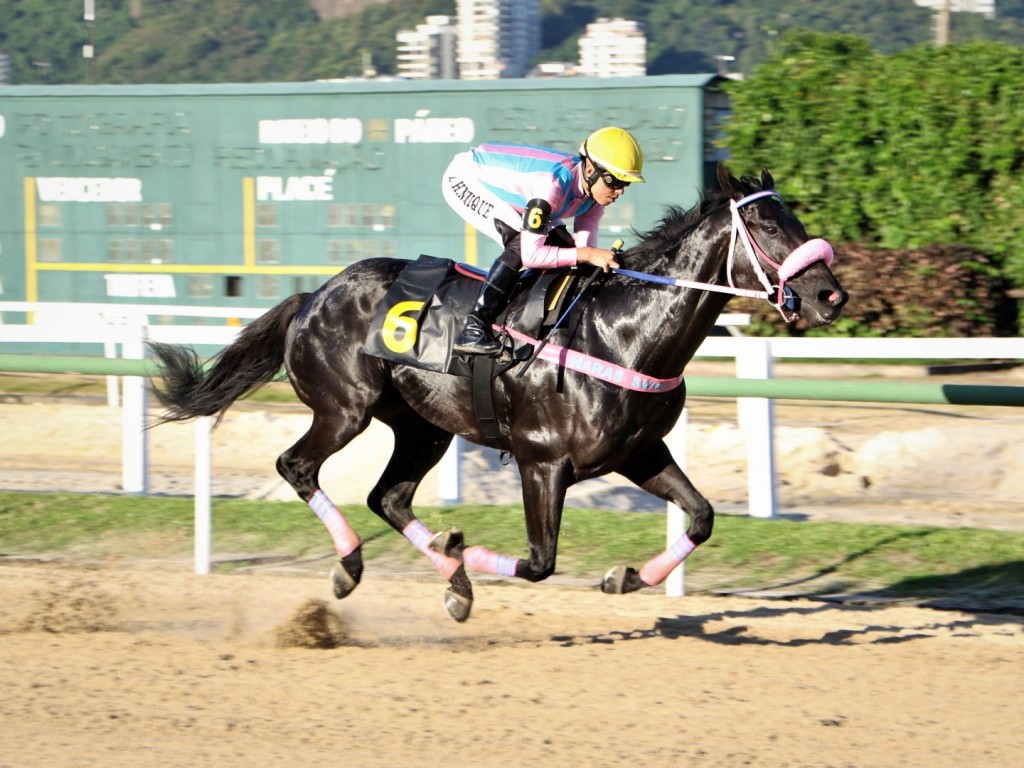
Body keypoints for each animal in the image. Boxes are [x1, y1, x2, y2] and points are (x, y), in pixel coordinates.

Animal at [149, 165, 847, 622]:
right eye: (764, 223)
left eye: (794, 218)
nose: (830, 295)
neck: (621, 333)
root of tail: (314, 295)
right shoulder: (543, 461)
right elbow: (539, 562)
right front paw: (464, 549)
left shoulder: (639, 451)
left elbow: (701, 517)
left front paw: (623, 577)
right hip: (344, 408)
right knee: (297, 466)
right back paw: (355, 566)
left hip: (424, 426)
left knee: (388, 497)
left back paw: (452, 582)